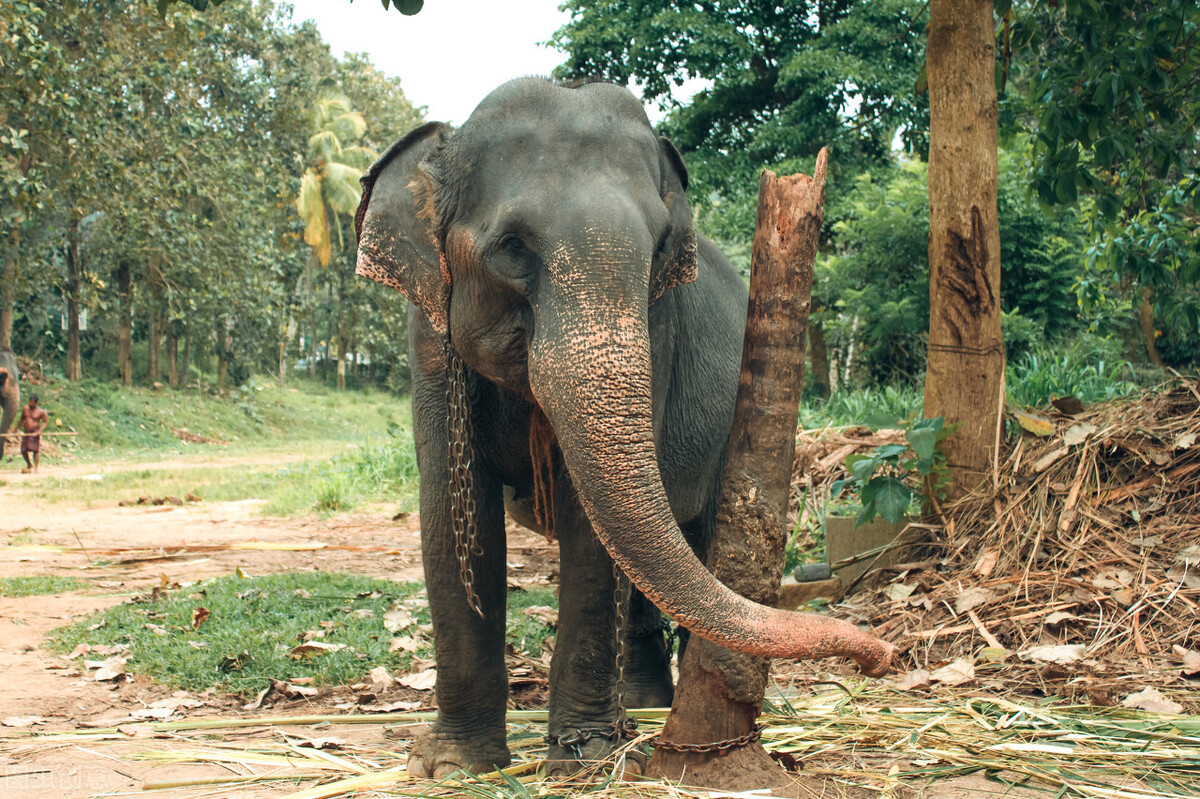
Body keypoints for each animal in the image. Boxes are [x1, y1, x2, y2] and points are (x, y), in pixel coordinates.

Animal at [350, 77, 888, 772]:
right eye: (512, 248)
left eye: (659, 247)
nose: (880, 658)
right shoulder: (427, 335)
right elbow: (451, 510)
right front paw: (457, 765)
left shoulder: (658, 327)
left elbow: (590, 529)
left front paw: (586, 759)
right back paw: (644, 704)